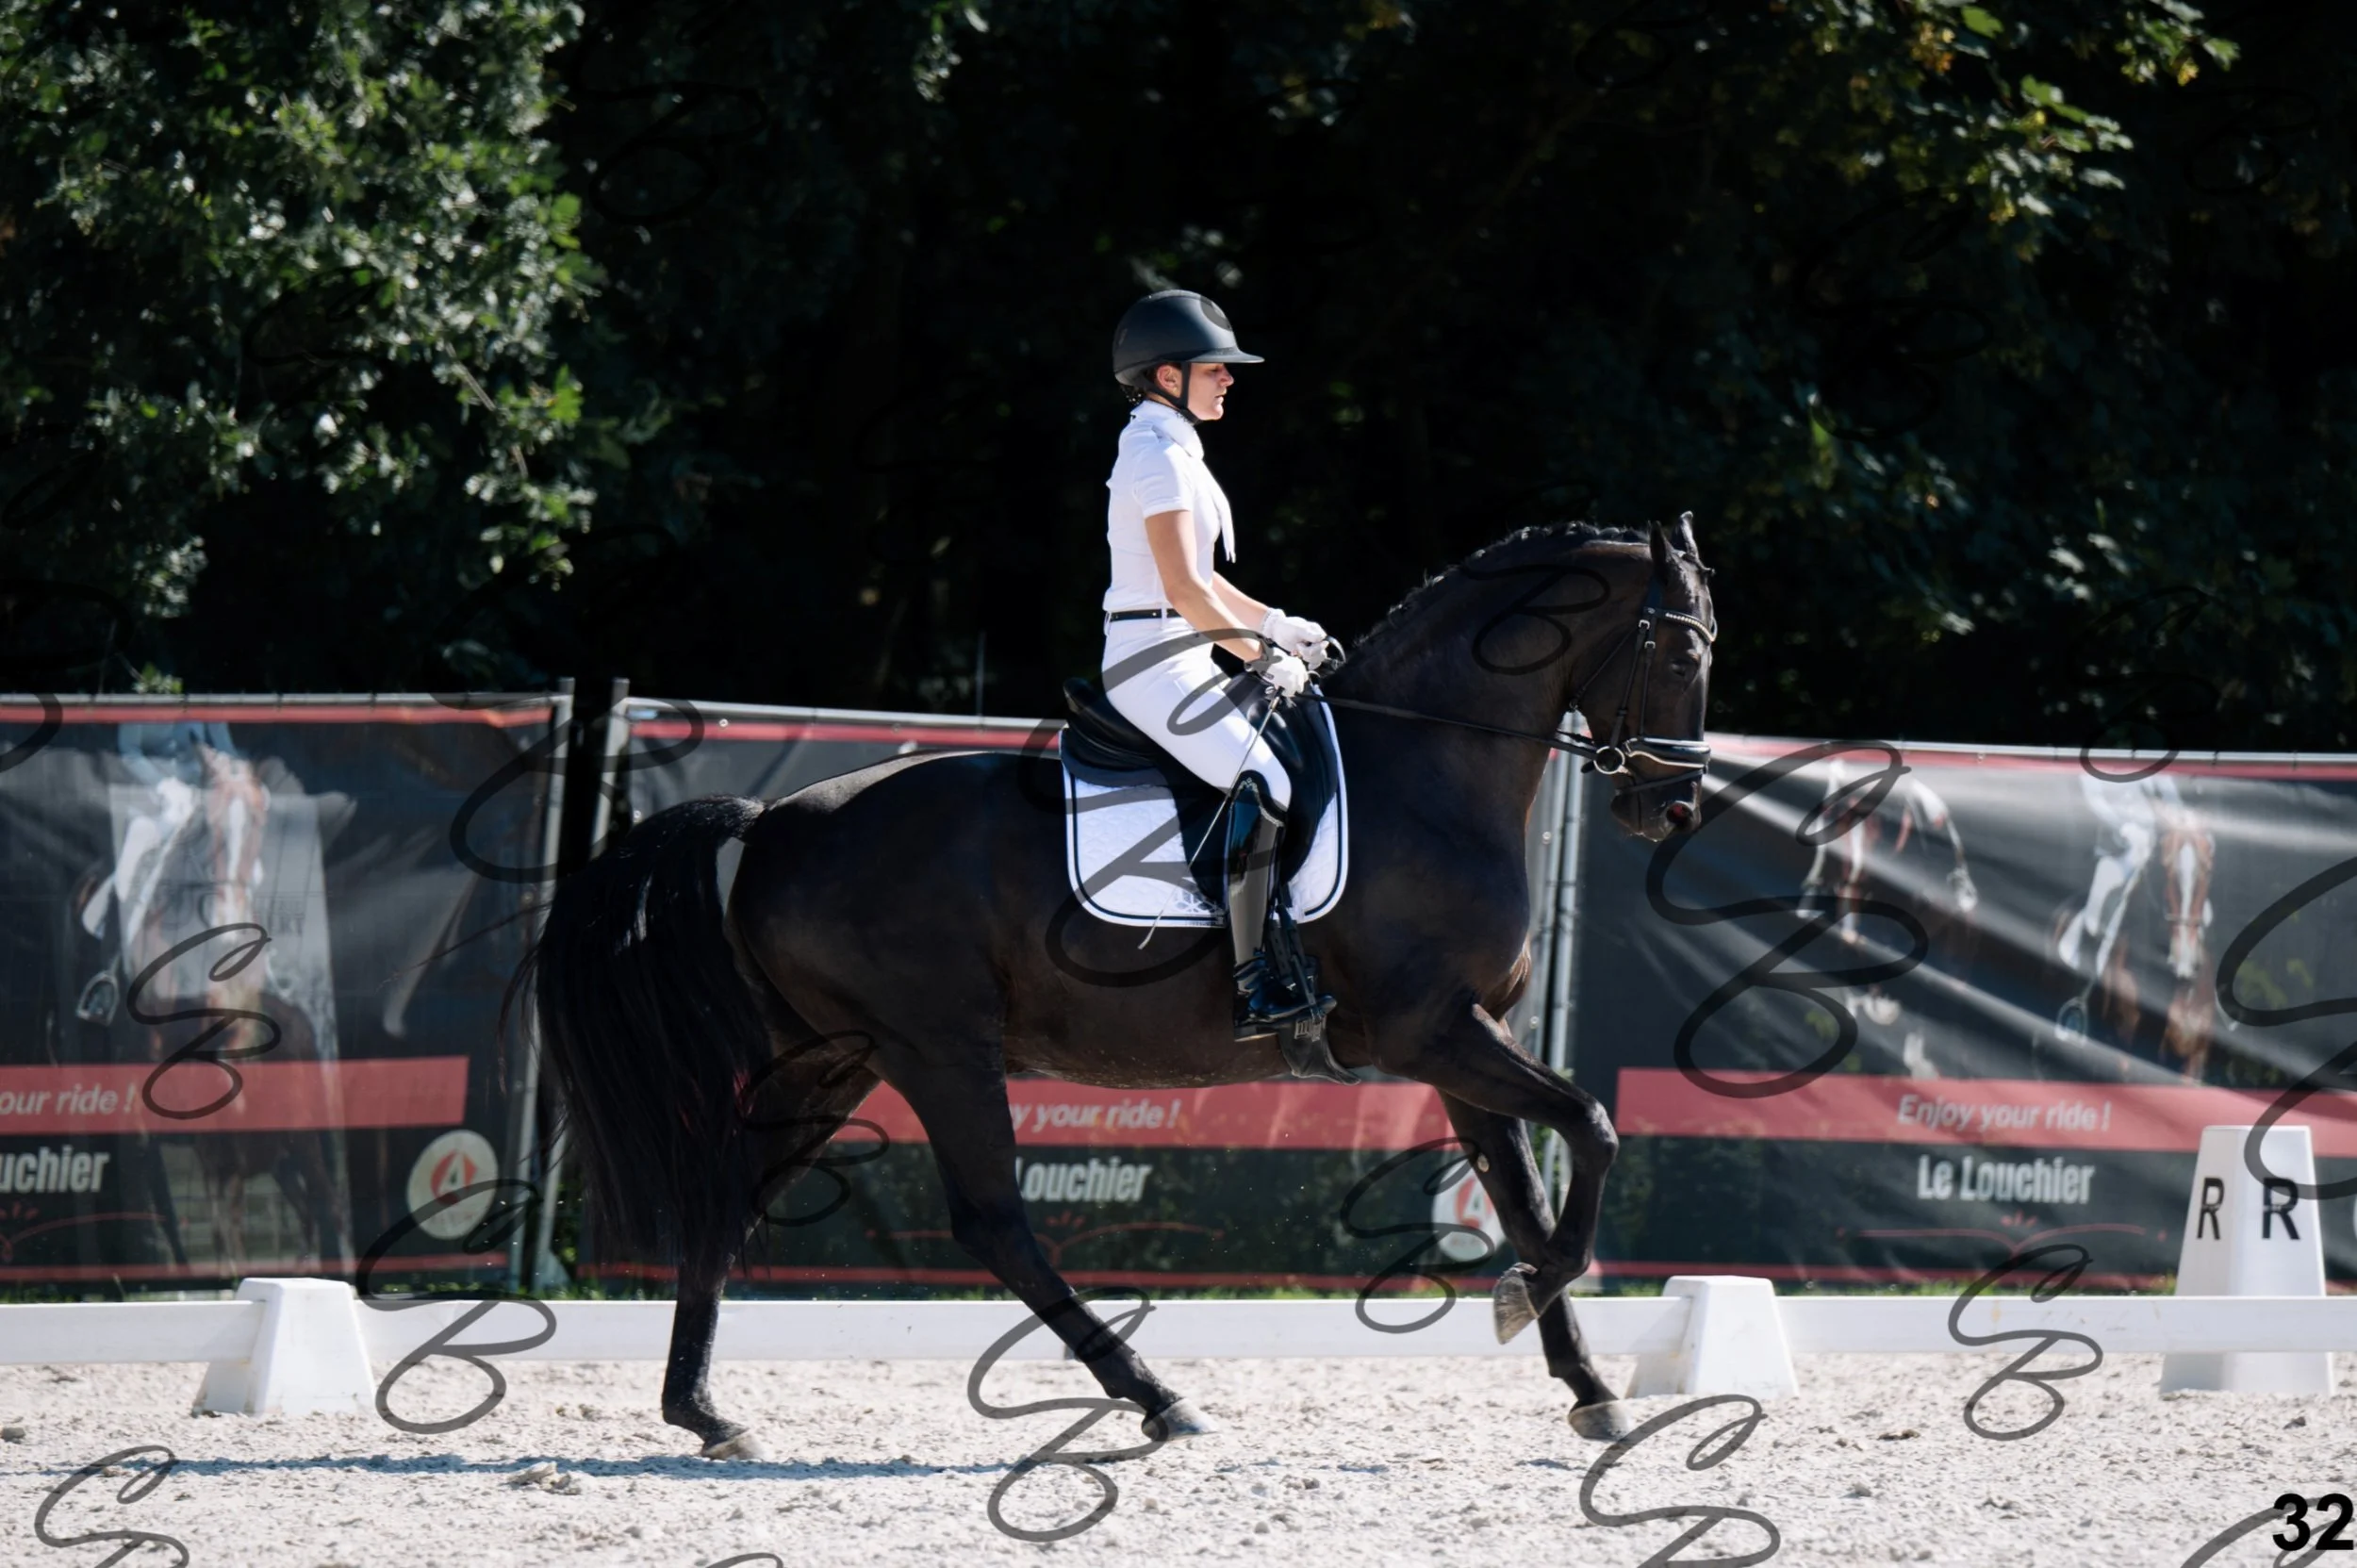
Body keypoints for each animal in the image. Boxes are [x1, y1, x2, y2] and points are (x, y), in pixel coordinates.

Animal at [525, 516, 1716, 1457]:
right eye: (1677, 648)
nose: (1670, 810)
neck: (1425, 776)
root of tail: (768, 821)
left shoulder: (1469, 1042)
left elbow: (1524, 1195)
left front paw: (1588, 1385)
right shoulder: (1431, 1032)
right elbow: (1594, 1126)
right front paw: (1525, 1302)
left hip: (830, 1060)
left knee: (728, 1195)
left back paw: (705, 1413)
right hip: (937, 1051)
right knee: (992, 1222)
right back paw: (1156, 1398)